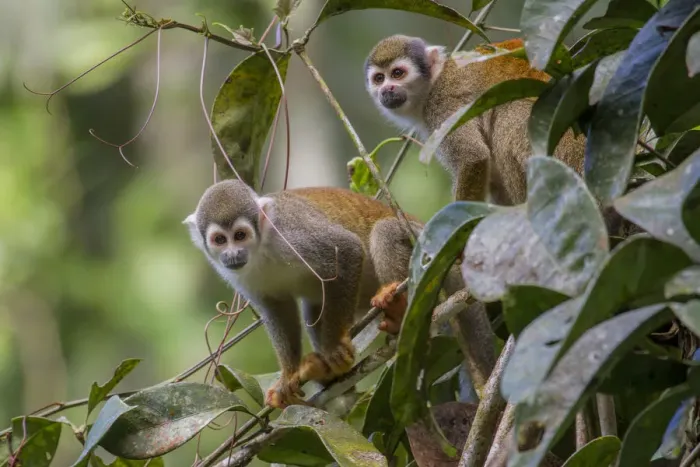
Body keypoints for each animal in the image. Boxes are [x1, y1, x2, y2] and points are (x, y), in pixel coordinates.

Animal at [184, 179, 463, 408]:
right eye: (220, 240)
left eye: (240, 235)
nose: (232, 254)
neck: (260, 248)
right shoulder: (239, 276)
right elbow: (277, 308)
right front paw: (289, 376)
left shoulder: (291, 234)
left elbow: (347, 249)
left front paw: (333, 349)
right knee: (315, 301)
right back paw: (327, 374)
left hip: (422, 243)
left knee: (385, 232)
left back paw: (398, 311)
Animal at [364, 35, 587, 205]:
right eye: (379, 79)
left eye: (398, 73)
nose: (387, 89)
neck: (432, 85)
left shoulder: (443, 105)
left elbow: (473, 158)